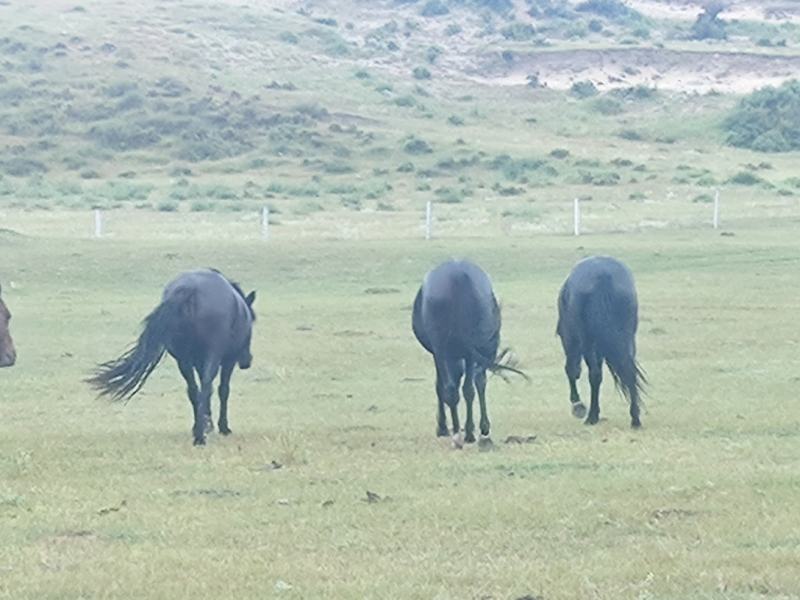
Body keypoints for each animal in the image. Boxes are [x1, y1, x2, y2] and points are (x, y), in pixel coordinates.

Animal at [88, 269, 256, 445]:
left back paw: (198, 430)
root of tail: (189, 290)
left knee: (194, 390)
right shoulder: (228, 361)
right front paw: (223, 427)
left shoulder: (198, 362)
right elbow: (223, 390)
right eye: (253, 320)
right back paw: (200, 437)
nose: (247, 361)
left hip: (184, 361)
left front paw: (207, 423)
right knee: (205, 388)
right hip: (210, 357)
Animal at [412, 259, 525, 443]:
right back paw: (471, 431)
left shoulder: (439, 353)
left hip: (444, 348)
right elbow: (476, 383)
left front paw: (442, 427)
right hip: (469, 350)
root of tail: (458, 278)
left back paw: (459, 431)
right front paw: (482, 426)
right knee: (470, 387)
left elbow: (441, 386)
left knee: (452, 389)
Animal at [556, 256, 645, 428]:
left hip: (587, 341)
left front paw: (578, 406)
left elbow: (571, 369)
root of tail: (604, 276)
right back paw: (635, 418)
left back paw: (591, 416)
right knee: (630, 372)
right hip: (627, 338)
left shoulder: (572, 339)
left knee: (594, 374)